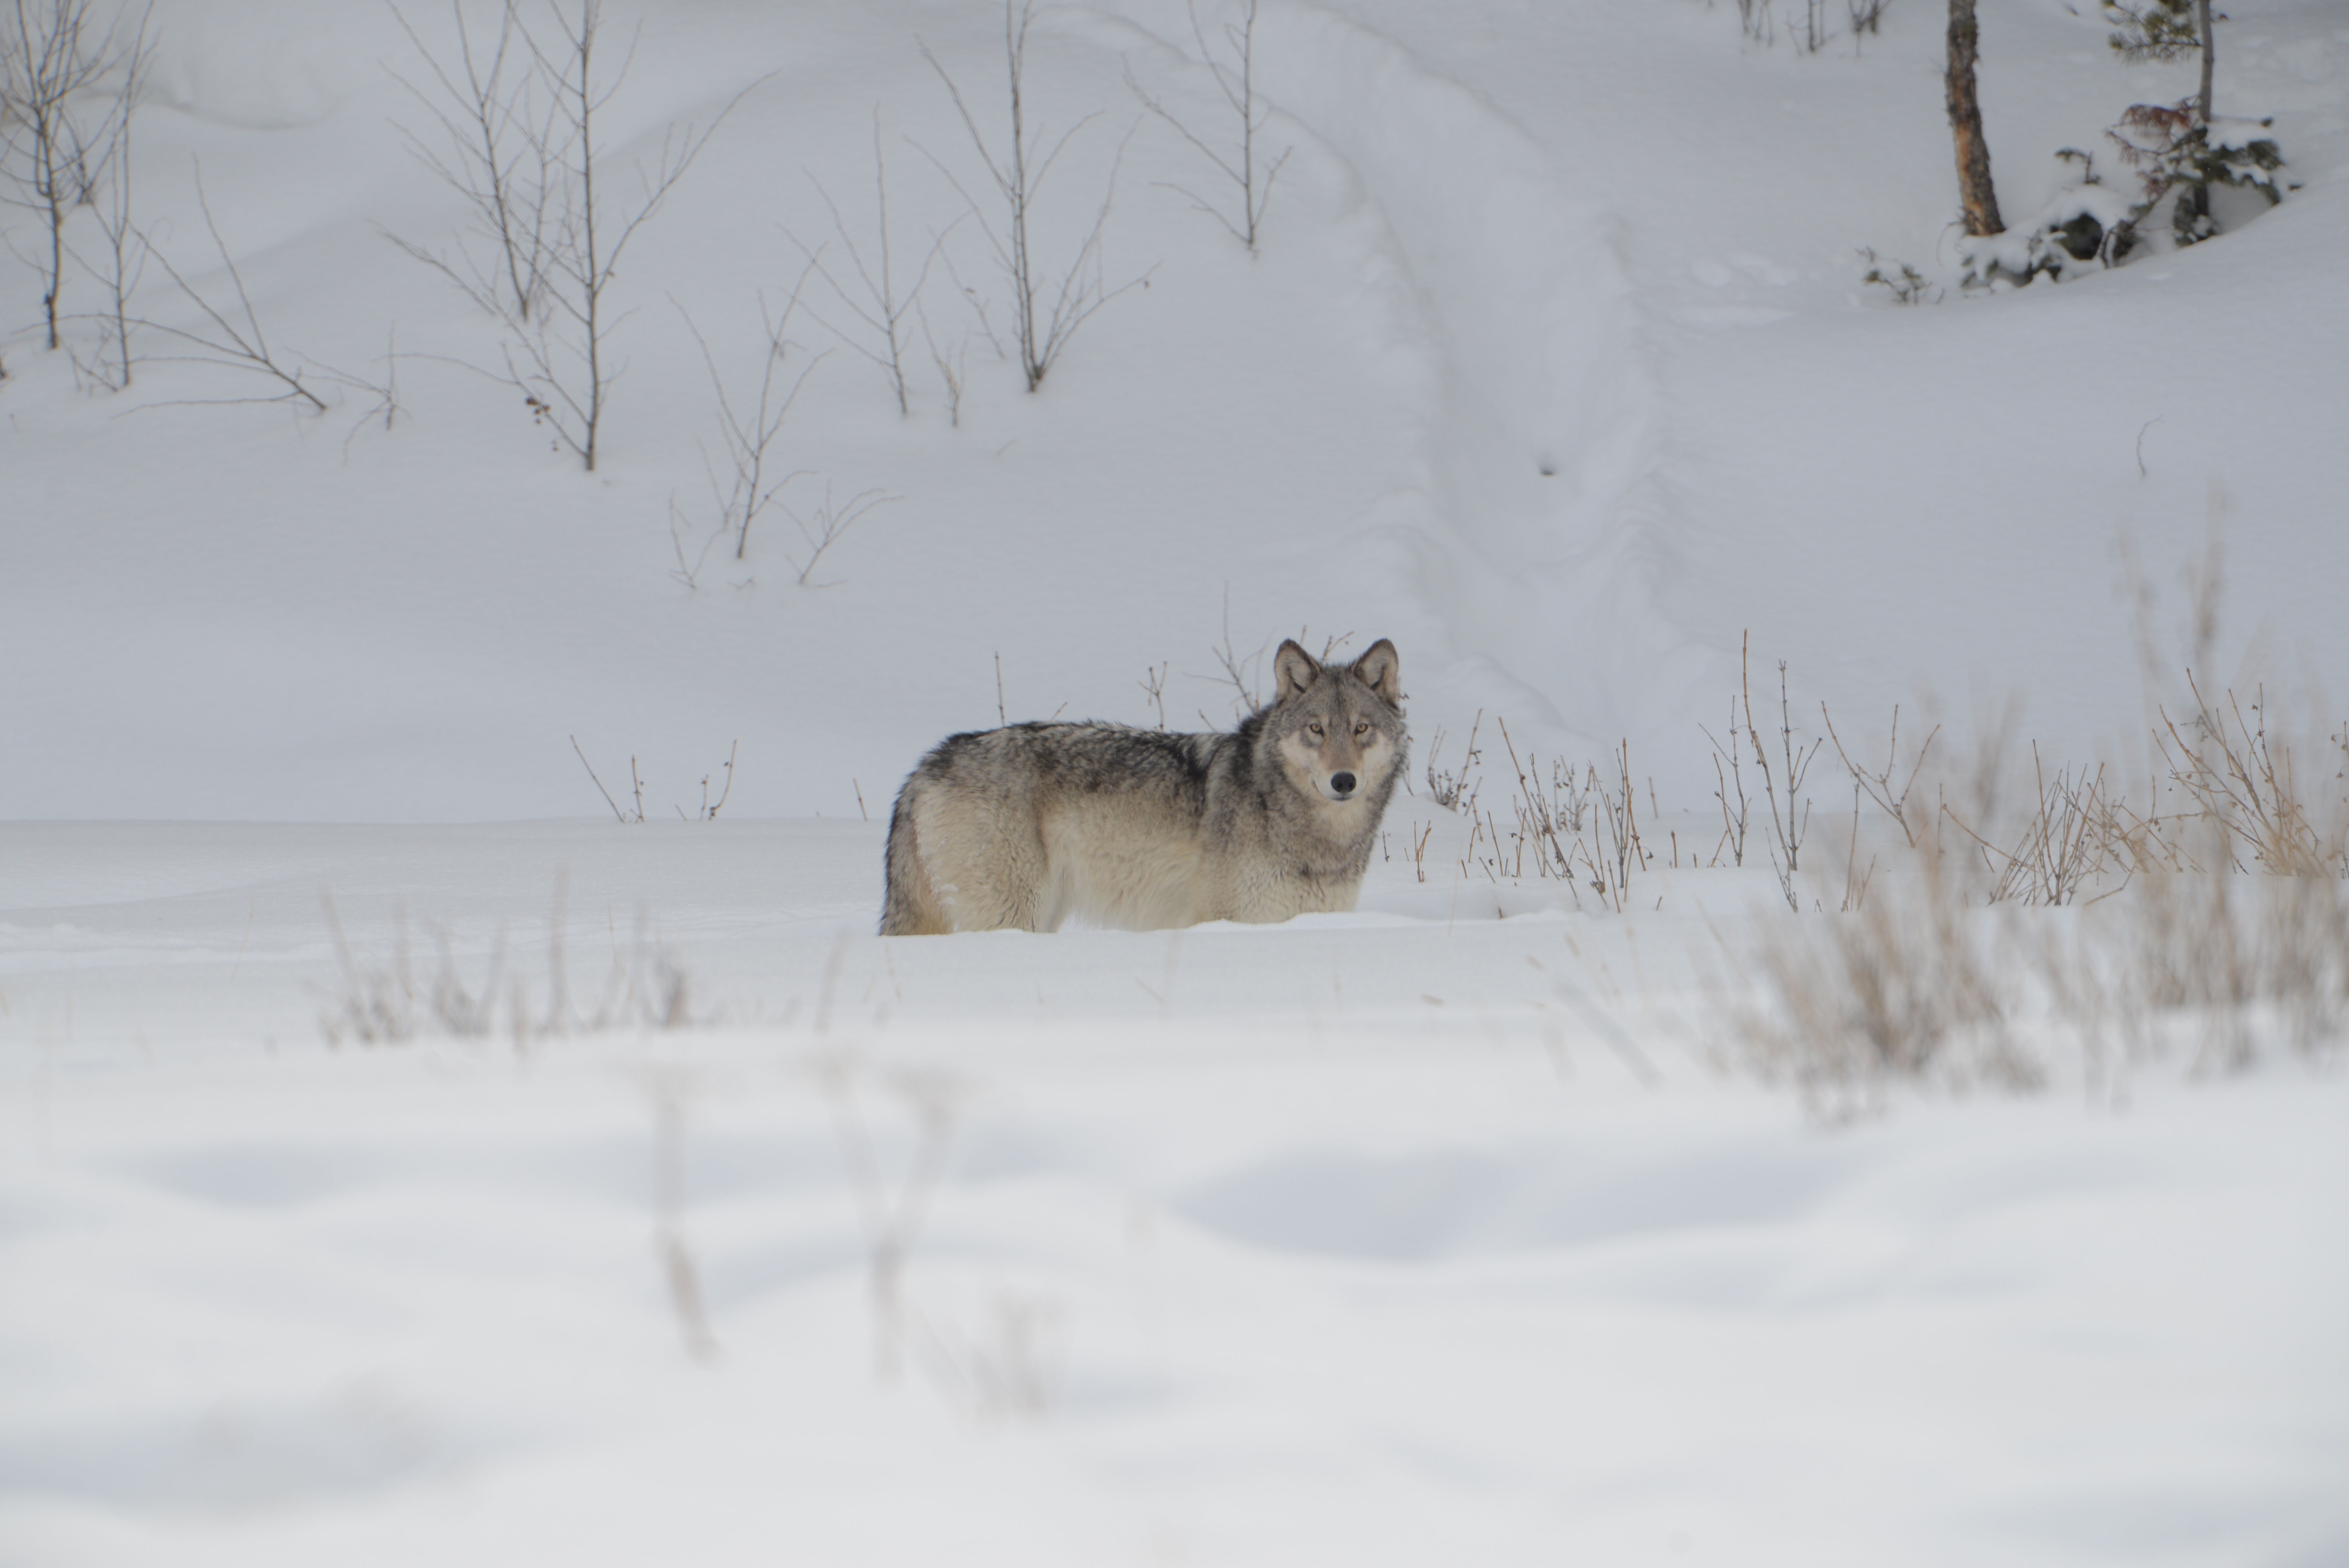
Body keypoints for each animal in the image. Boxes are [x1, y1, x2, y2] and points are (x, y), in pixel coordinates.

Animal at [878, 638, 1390, 929]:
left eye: (1361, 729)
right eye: (1317, 729)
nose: (1343, 781)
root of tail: (928, 763)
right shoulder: (1234, 918)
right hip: (1014, 914)